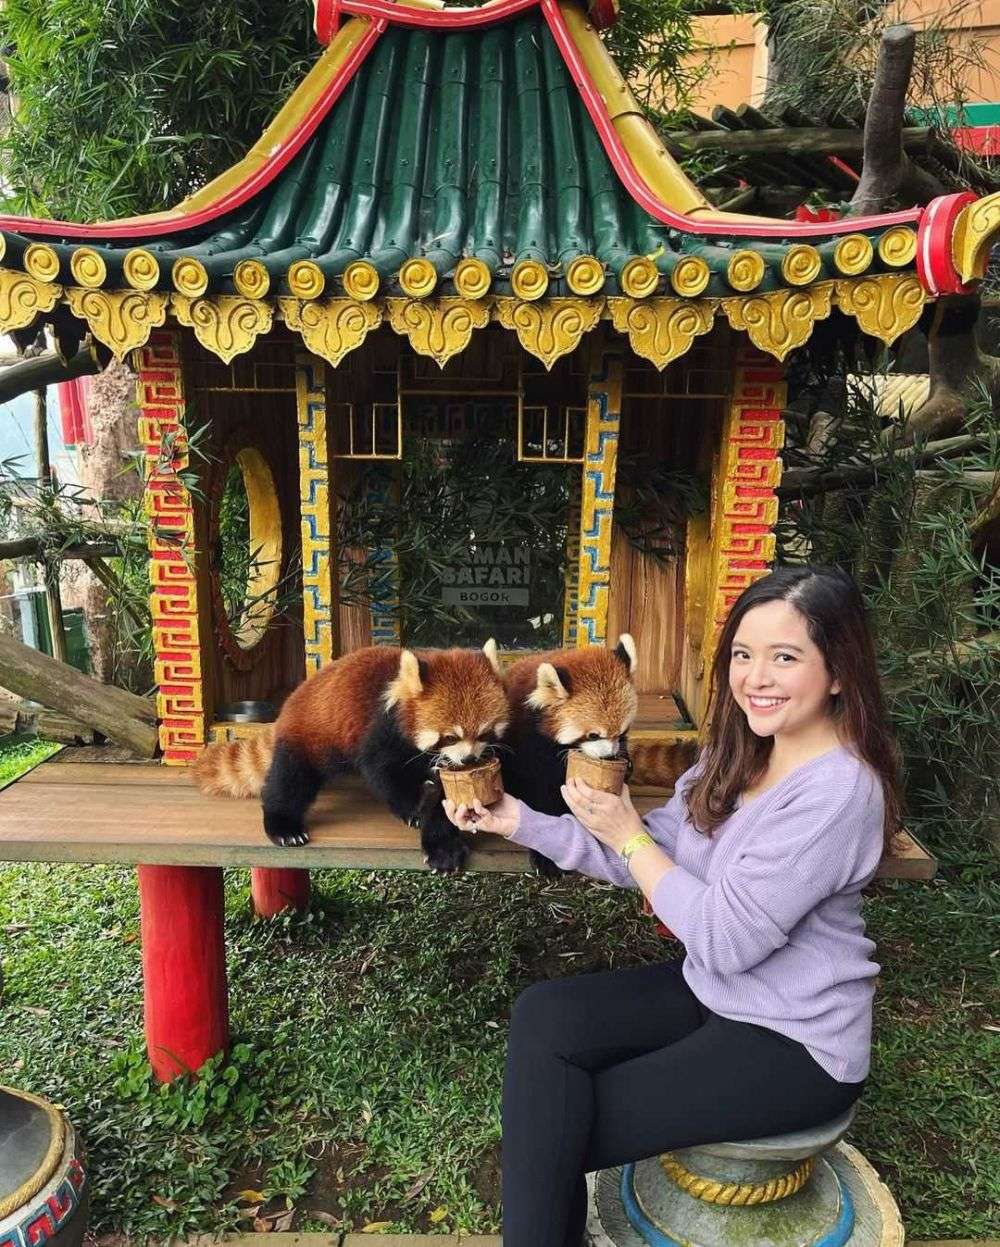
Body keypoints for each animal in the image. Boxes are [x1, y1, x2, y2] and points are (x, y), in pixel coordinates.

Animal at [192, 643, 511, 877]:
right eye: (450, 737)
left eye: (483, 733)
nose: (469, 757)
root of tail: (295, 697)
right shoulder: (381, 730)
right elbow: (382, 772)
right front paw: (415, 808)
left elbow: (442, 802)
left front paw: (442, 847)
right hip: (309, 737)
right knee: (289, 780)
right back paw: (283, 826)